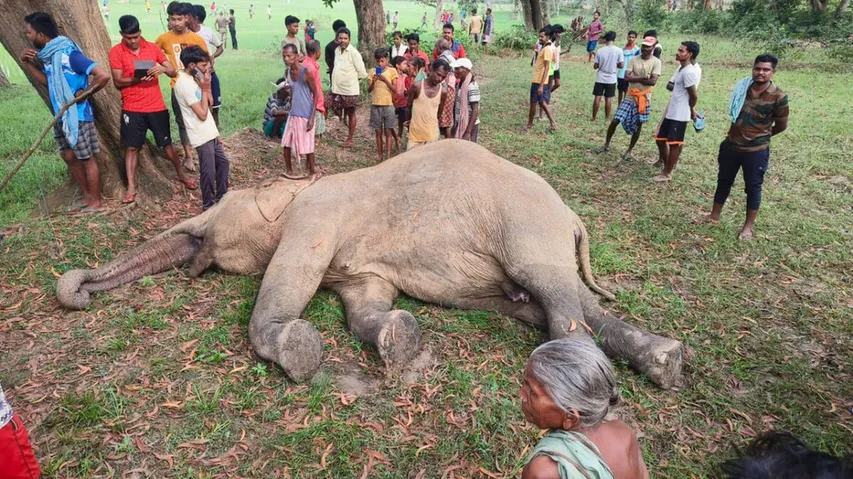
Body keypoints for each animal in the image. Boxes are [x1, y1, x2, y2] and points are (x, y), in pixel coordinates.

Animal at [58, 140, 684, 389]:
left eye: (216, 212)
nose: (78, 289)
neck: (295, 185)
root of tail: (573, 217)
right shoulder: (360, 269)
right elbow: (365, 305)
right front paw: (401, 343)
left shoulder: (314, 216)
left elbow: (291, 277)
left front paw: (297, 352)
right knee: (560, 304)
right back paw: (666, 362)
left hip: (529, 229)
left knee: (558, 301)